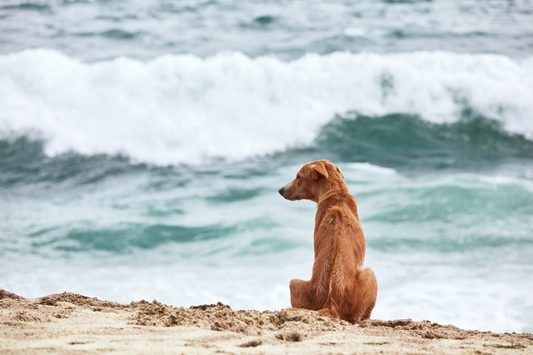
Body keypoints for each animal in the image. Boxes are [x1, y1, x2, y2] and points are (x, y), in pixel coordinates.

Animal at [276, 161, 376, 326]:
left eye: (298, 176)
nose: (280, 190)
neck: (335, 194)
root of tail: (331, 305)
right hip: (370, 274)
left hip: (294, 283)